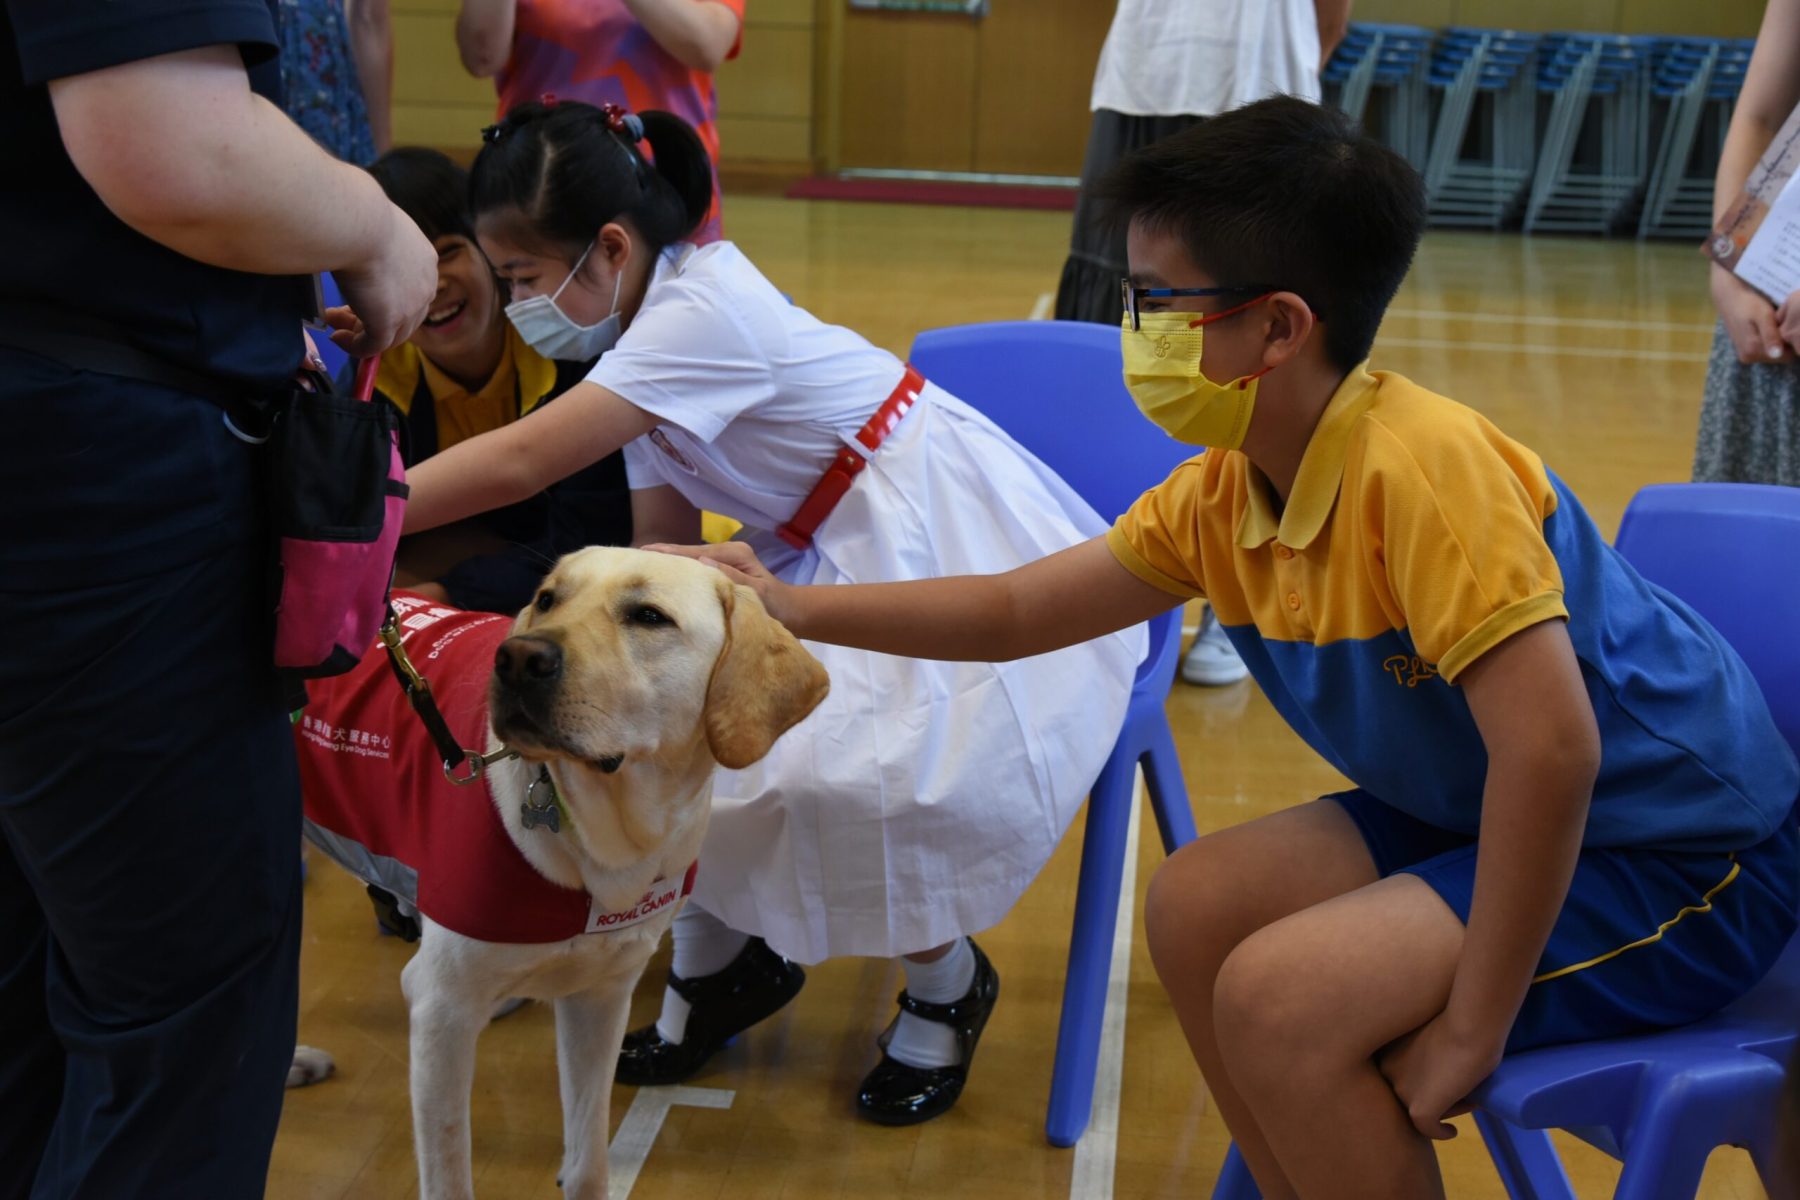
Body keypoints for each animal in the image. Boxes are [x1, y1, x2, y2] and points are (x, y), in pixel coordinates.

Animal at [290, 546, 828, 1199]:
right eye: (548, 599)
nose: (519, 659)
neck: (606, 841)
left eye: (649, 616)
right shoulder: (442, 1010)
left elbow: (588, 1158)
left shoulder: (600, 995)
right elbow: (449, 1174)